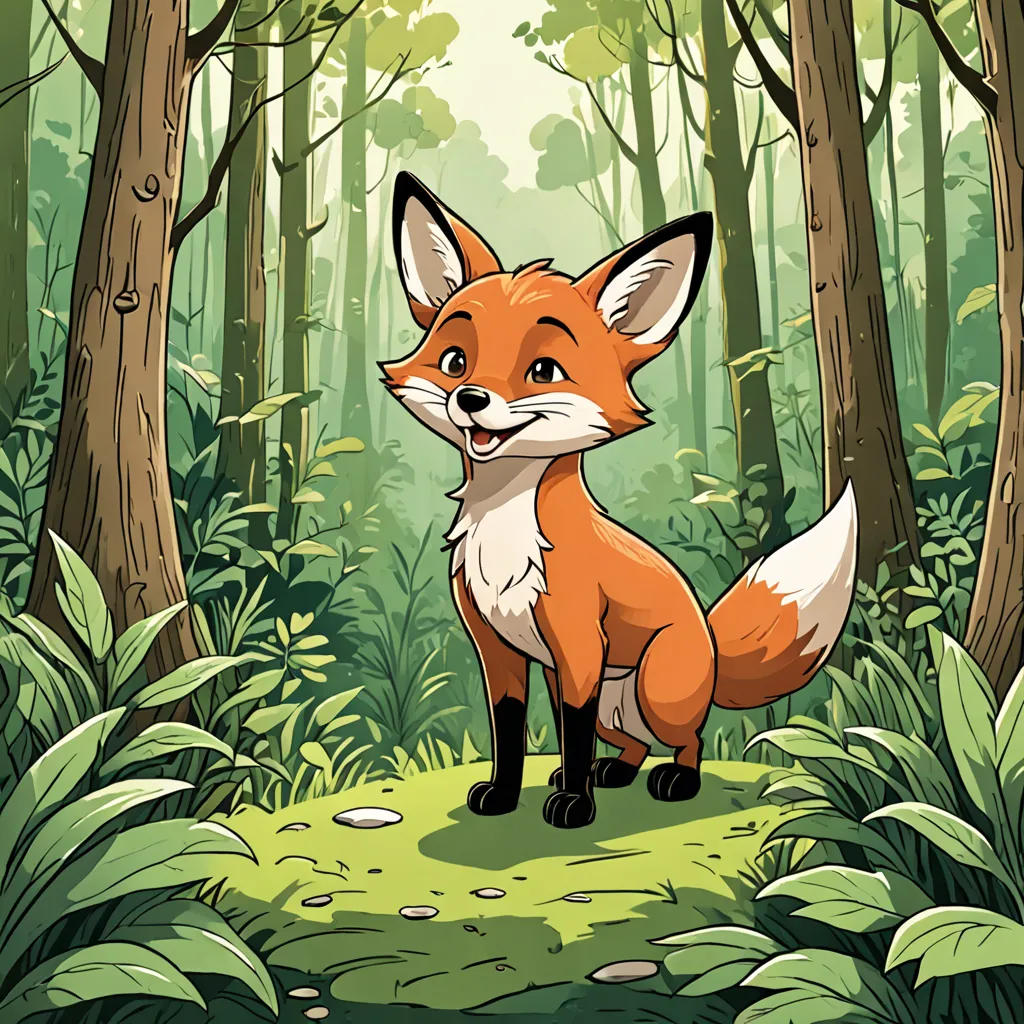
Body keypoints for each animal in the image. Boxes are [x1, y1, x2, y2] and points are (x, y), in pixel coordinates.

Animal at [382, 170, 858, 829]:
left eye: (544, 370)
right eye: (455, 361)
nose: (471, 399)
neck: (503, 536)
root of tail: (711, 646)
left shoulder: (579, 648)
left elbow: (572, 733)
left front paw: (573, 809)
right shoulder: (499, 652)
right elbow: (511, 733)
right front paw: (504, 796)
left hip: (654, 691)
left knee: (688, 740)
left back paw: (671, 781)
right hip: (607, 697)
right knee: (623, 744)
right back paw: (609, 772)